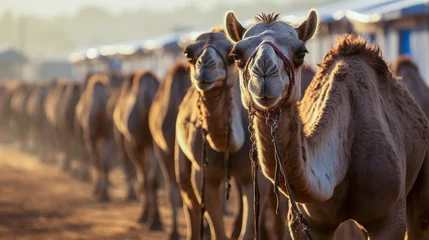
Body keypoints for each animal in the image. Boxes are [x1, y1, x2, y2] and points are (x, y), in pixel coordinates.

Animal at [113, 71, 160, 225]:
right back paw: (156, 220)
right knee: (153, 179)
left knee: (144, 178)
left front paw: (143, 215)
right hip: (153, 144)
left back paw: (146, 216)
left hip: (134, 144)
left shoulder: (131, 142)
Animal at [174, 26, 288, 240]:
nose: (205, 65)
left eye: (230, 55)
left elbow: (249, 228)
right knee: (188, 197)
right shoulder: (206, 175)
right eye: (188, 53)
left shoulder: (256, 176)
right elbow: (218, 229)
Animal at [224, 10, 428, 240]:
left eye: (301, 53)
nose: (265, 73)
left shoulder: (389, 221)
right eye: (236, 56)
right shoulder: (308, 223)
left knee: (420, 217)